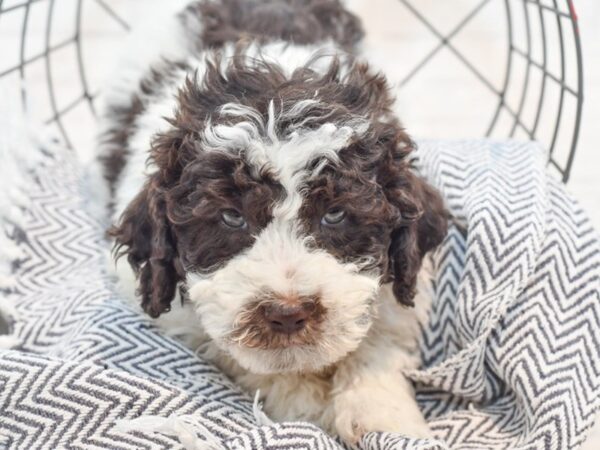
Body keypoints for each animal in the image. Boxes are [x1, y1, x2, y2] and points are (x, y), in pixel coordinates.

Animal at [98, 0, 448, 442]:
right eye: (232, 217)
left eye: (335, 214)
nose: (287, 313)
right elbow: (247, 359)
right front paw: (309, 406)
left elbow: (380, 337)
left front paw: (386, 417)